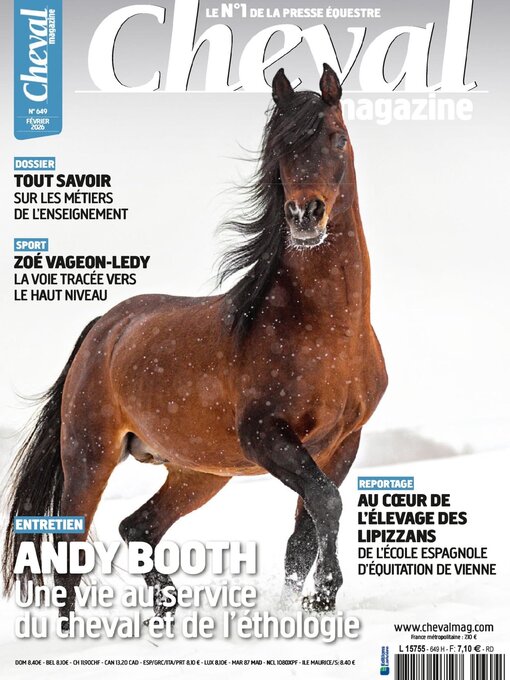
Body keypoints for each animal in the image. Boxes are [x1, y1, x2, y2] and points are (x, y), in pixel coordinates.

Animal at [3, 64, 387, 619]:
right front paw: (324, 593)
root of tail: (103, 326)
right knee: (70, 558)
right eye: (282, 148)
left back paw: (167, 605)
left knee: (138, 527)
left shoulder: (342, 442)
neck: (330, 332)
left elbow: (305, 530)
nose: (304, 215)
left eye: (337, 138)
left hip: (200, 472)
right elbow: (325, 506)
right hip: (89, 457)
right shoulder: (266, 437)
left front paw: (306, 605)